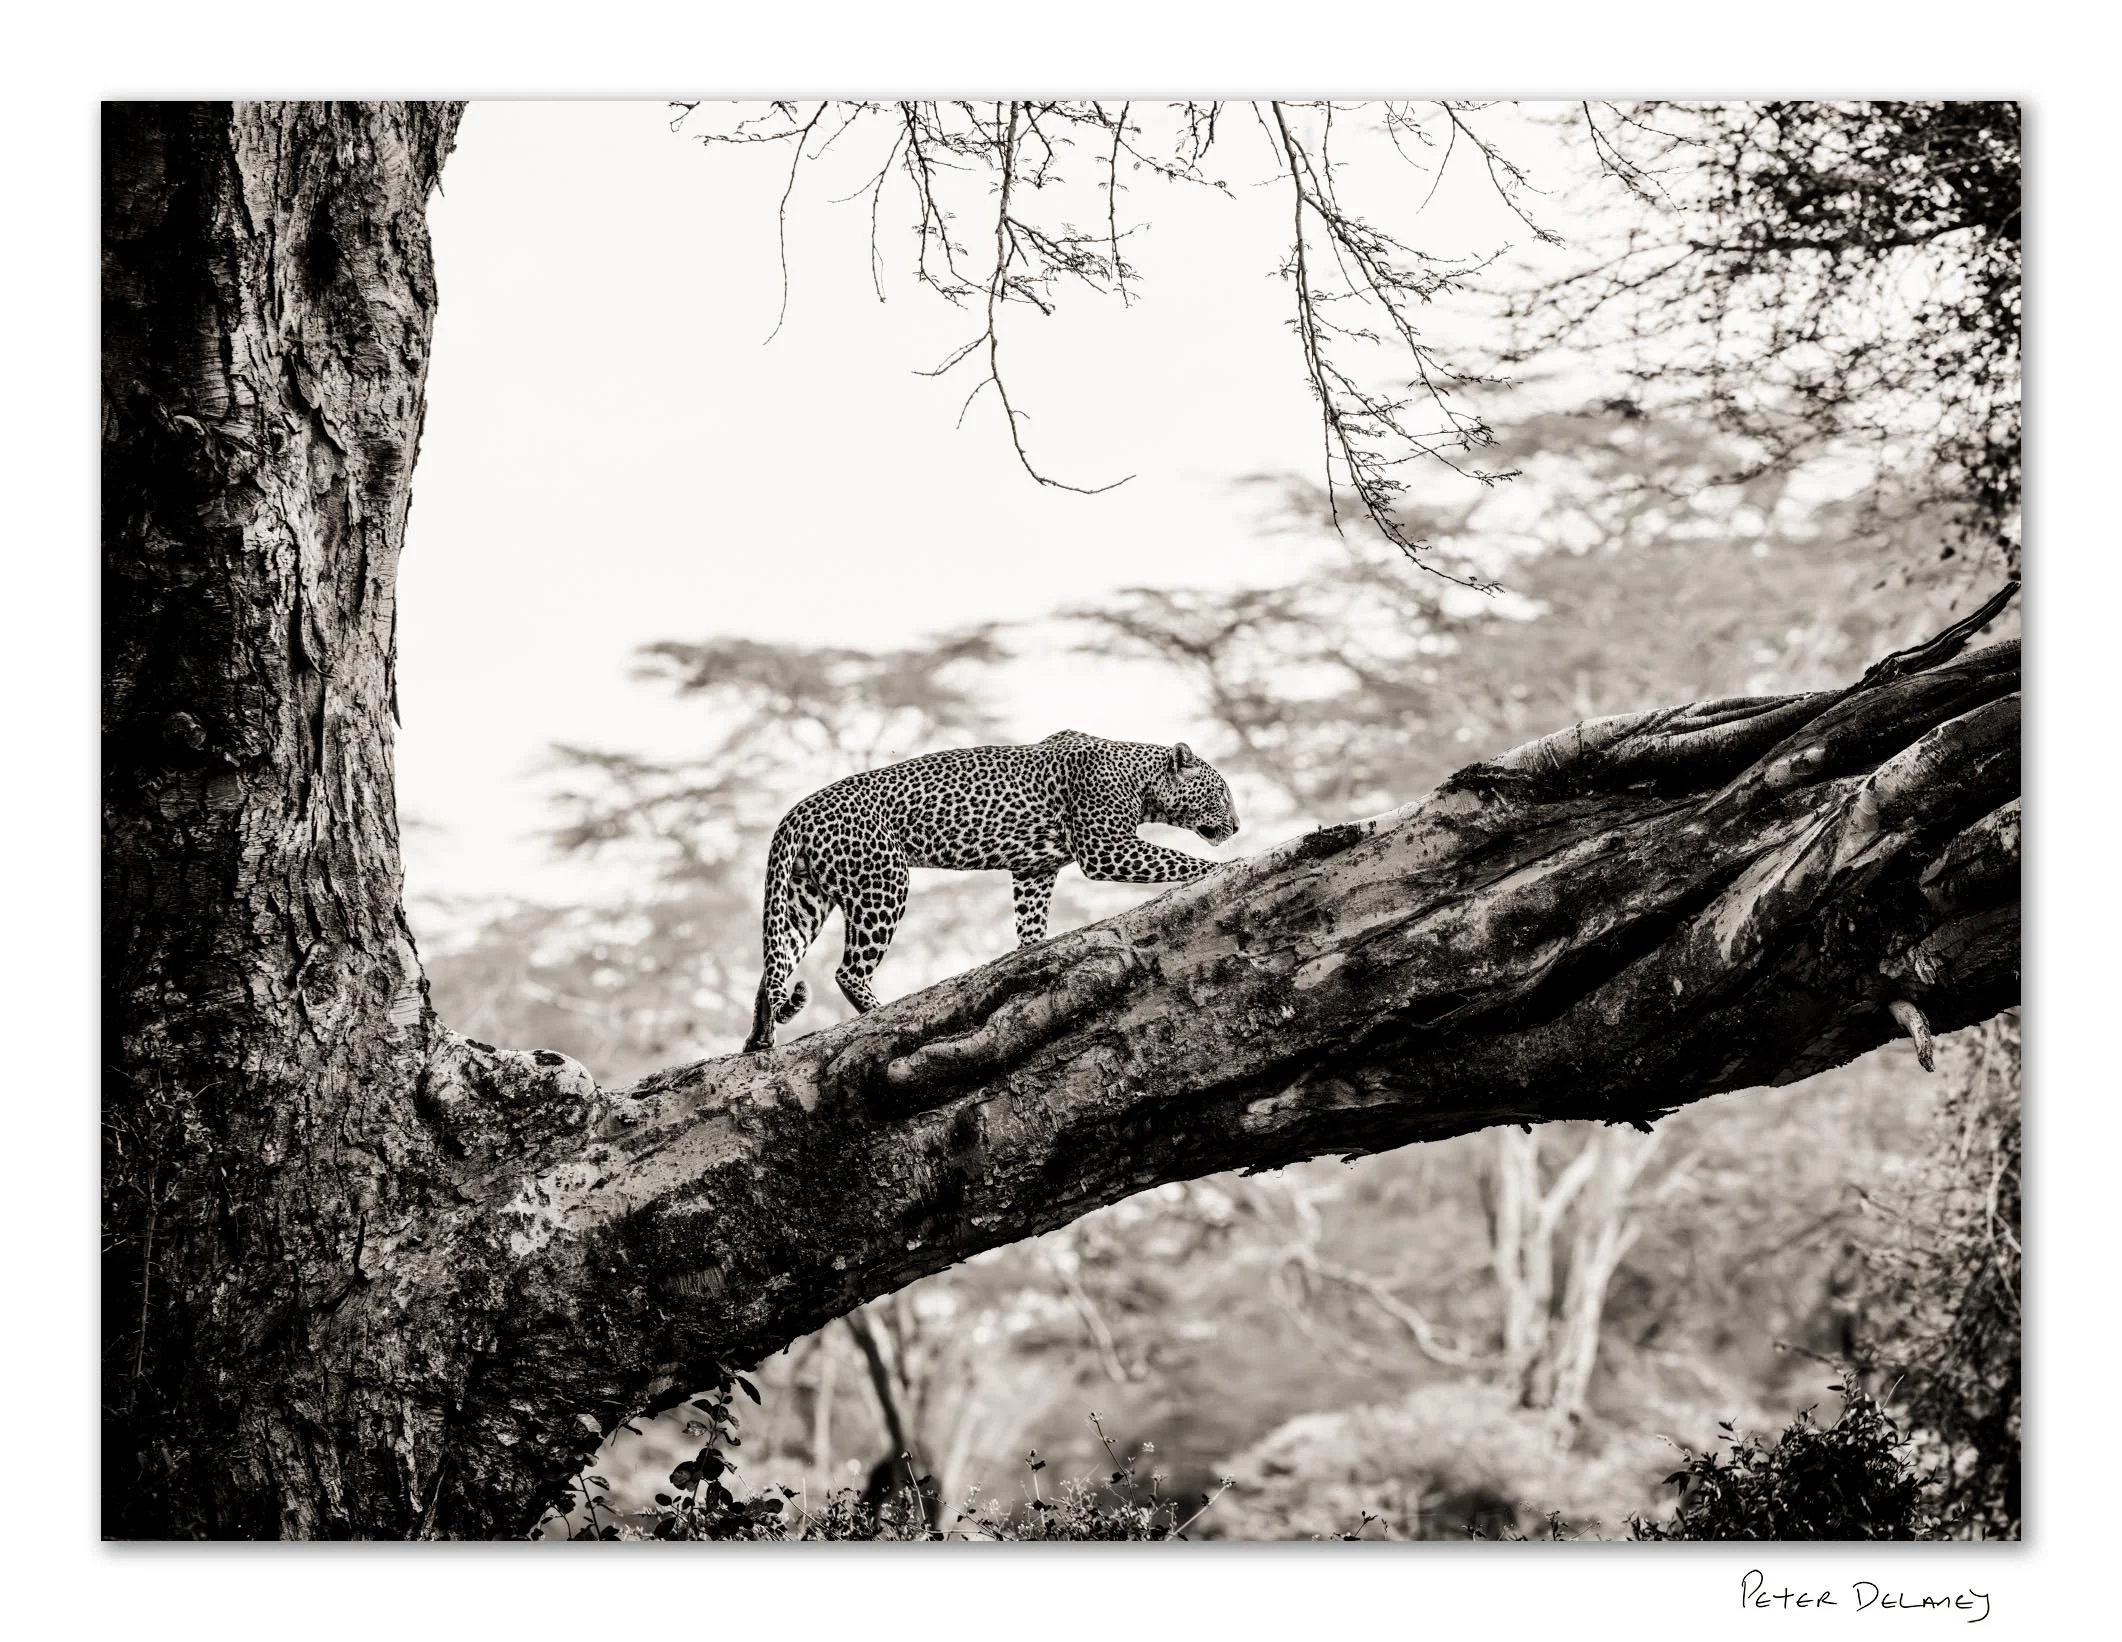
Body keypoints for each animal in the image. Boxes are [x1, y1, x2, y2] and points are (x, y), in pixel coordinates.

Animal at [744, 731, 1239, 1052]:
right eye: (1222, 794)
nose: (1236, 827)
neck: (1141, 778)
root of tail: (795, 813)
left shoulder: (1034, 869)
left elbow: (1031, 922)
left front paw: (1031, 952)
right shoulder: (1106, 848)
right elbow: (1178, 859)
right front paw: (1228, 864)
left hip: (803, 899)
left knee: (774, 967)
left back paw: (760, 1039)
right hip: (882, 883)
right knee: (847, 971)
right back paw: (877, 1012)